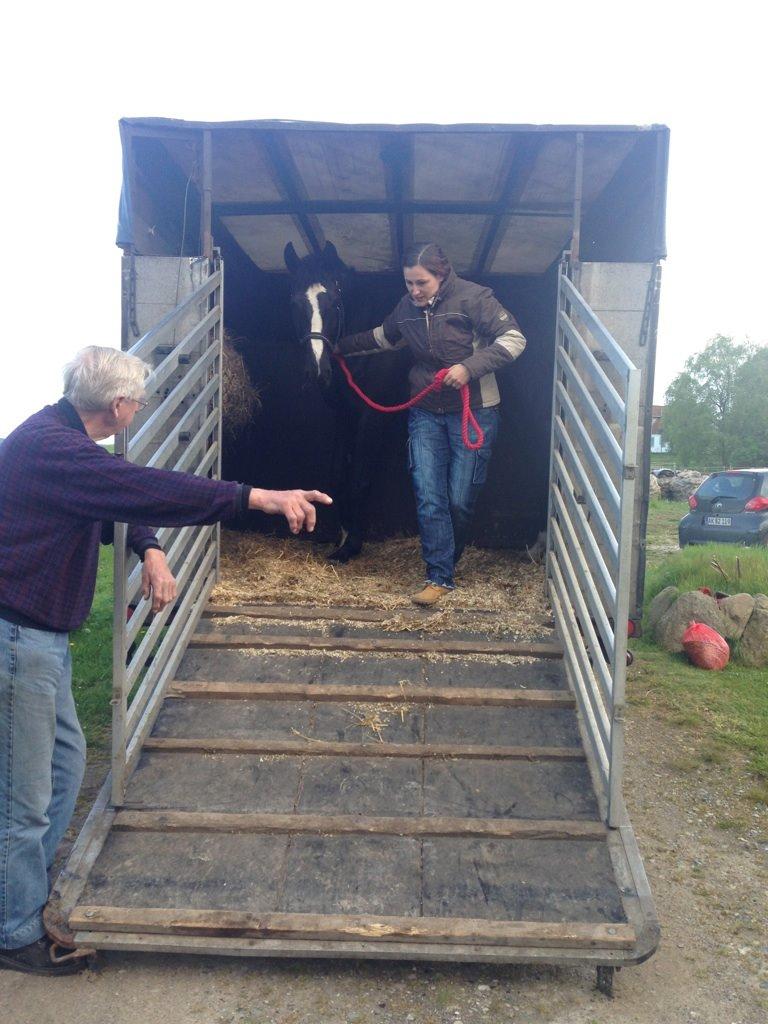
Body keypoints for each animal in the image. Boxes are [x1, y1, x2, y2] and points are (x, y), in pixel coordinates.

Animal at [284, 239, 415, 561]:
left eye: (334, 303)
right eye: (294, 304)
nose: (317, 371)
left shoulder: (372, 415)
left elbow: (358, 480)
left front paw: (351, 546)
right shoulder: (344, 415)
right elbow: (337, 475)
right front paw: (341, 535)